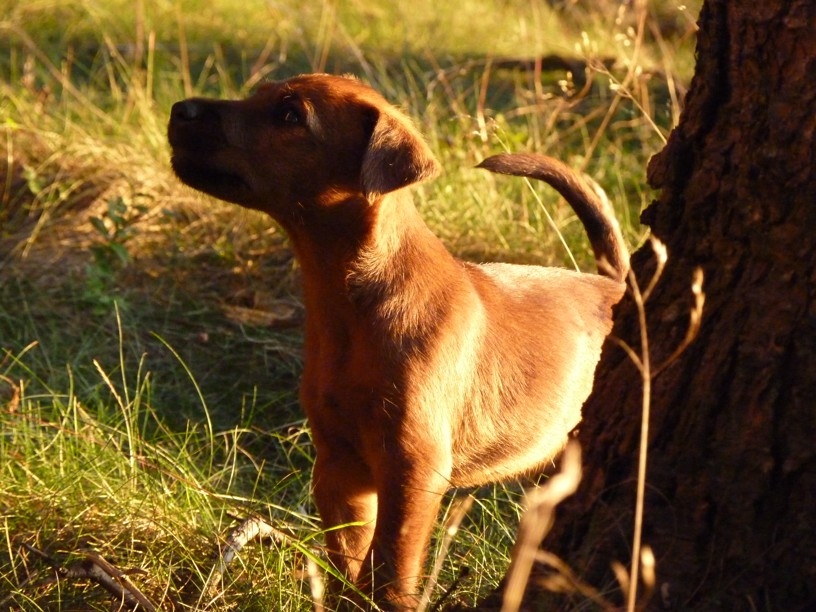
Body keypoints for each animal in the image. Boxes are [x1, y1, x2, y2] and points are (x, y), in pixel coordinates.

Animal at [168, 73, 628, 609]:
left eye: (290, 115)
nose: (179, 109)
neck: (351, 304)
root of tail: (620, 287)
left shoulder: (413, 470)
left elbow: (390, 565)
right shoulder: (338, 466)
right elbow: (350, 557)